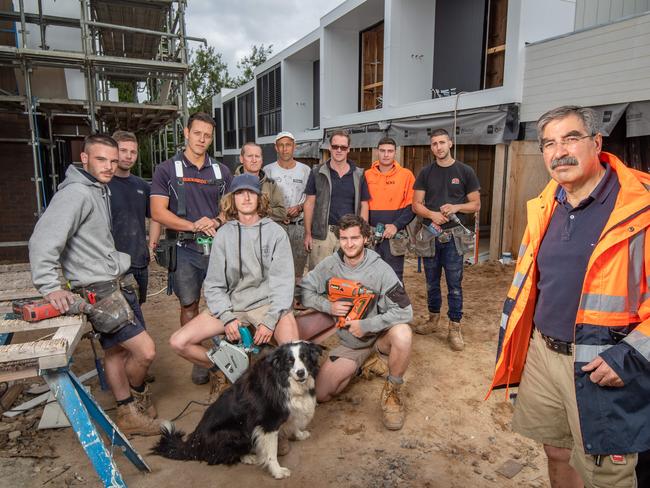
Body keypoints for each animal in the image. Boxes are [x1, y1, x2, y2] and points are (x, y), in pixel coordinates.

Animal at [153, 342, 324, 478]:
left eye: (305, 358)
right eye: (289, 361)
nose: (301, 373)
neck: (283, 380)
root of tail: (193, 443)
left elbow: (294, 423)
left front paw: (300, 434)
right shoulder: (268, 423)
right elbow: (271, 453)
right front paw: (277, 472)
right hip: (234, 433)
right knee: (219, 456)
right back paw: (248, 457)